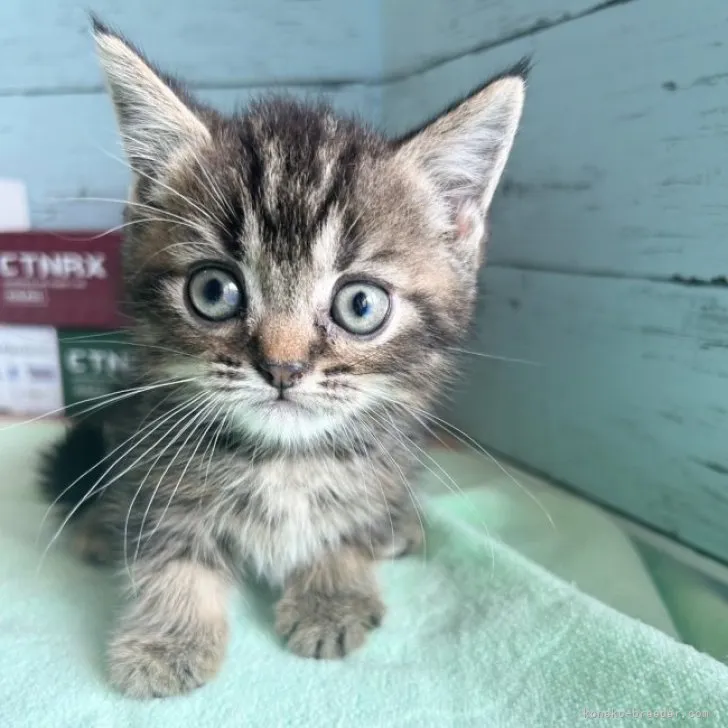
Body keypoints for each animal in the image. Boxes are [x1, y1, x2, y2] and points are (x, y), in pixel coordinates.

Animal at [39, 18, 528, 700]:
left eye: (360, 304)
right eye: (214, 291)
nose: (282, 368)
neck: (283, 460)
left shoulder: (378, 460)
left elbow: (346, 528)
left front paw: (332, 595)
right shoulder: (154, 458)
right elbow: (167, 548)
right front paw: (167, 639)